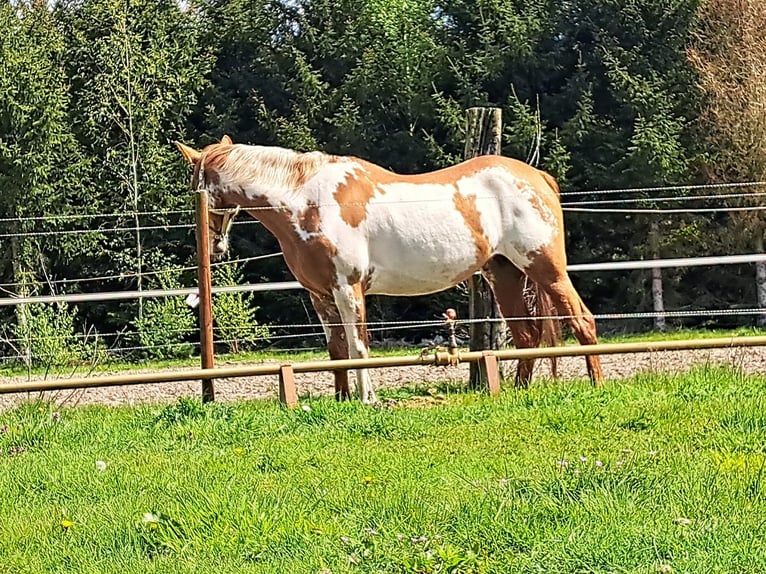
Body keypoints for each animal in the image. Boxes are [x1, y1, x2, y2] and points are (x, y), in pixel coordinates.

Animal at [176, 136, 608, 404]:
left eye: (196, 188)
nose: (212, 246)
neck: (307, 201)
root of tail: (539, 177)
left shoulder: (348, 288)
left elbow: (358, 347)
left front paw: (367, 399)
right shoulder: (320, 293)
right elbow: (336, 350)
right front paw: (341, 399)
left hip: (545, 267)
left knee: (581, 320)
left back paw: (597, 384)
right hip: (503, 273)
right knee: (527, 335)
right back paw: (517, 391)